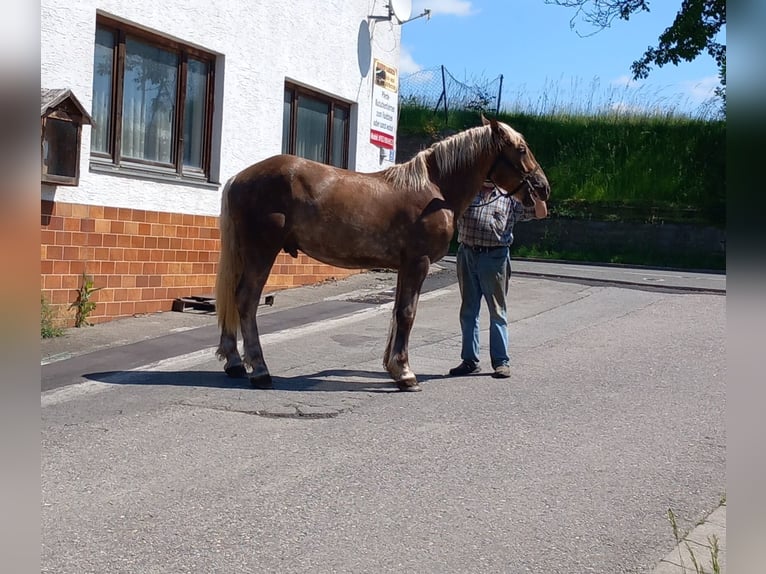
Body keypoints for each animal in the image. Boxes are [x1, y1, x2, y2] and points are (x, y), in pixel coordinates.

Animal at [216, 116, 552, 396]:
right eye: (521, 149)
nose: (543, 188)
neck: (434, 190)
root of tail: (238, 177)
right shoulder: (418, 262)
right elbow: (407, 314)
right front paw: (405, 374)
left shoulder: (405, 265)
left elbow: (397, 312)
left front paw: (393, 368)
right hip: (261, 251)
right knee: (246, 299)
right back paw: (259, 371)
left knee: (233, 298)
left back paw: (234, 362)